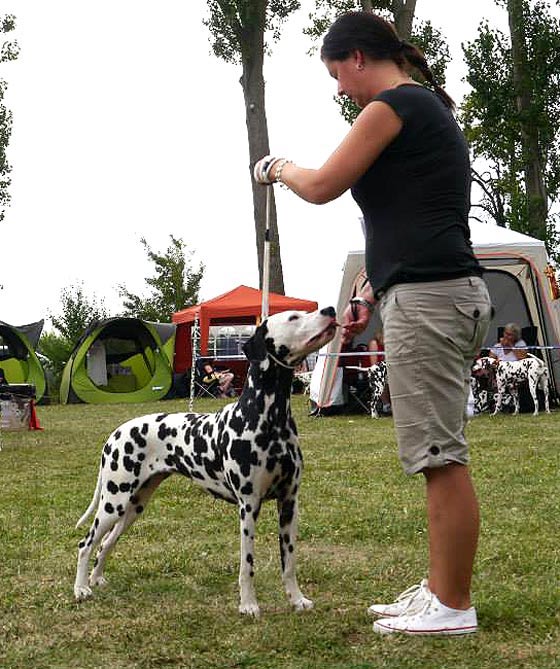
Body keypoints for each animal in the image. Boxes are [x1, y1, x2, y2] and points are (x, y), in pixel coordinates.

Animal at [73, 307, 338, 616]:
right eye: (293, 317)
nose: (330, 310)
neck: (268, 417)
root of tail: (114, 434)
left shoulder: (289, 503)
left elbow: (289, 562)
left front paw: (296, 599)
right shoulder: (249, 506)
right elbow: (247, 564)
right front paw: (248, 605)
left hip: (132, 507)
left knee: (105, 542)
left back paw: (96, 578)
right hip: (113, 503)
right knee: (86, 543)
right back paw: (81, 588)